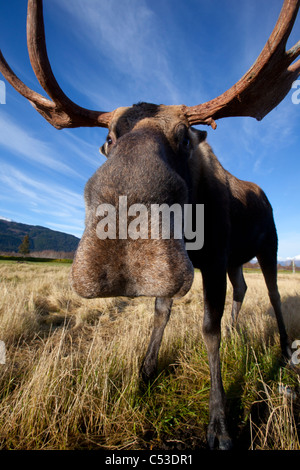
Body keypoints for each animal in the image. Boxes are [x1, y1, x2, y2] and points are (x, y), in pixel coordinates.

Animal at [0, 0, 300, 448]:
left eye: (184, 136)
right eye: (108, 138)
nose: (125, 229)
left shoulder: (213, 259)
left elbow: (208, 330)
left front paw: (219, 423)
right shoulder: (208, 263)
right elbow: (161, 312)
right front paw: (143, 374)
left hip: (269, 247)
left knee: (275, 294)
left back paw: (284, 350)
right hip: (237, 258)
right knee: (243, 289)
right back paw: (239, 332)